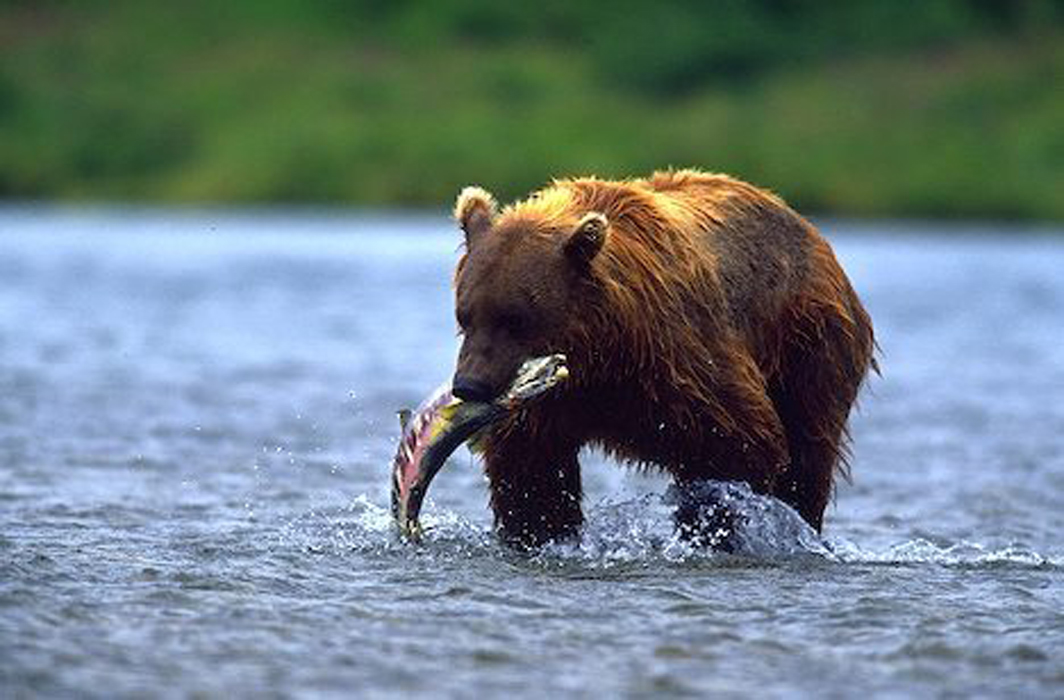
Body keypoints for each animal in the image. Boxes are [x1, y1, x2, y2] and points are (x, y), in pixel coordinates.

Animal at [449, 169, 872, 544]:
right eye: (465, 314)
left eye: (515, 318)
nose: (469, 385)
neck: (603, 347)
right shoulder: (553, 398)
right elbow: (531, 466)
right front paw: (540, 531)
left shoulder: (678, 357)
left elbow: (739, 440)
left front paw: (714, 526)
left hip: (808, 344)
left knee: (808, 450)